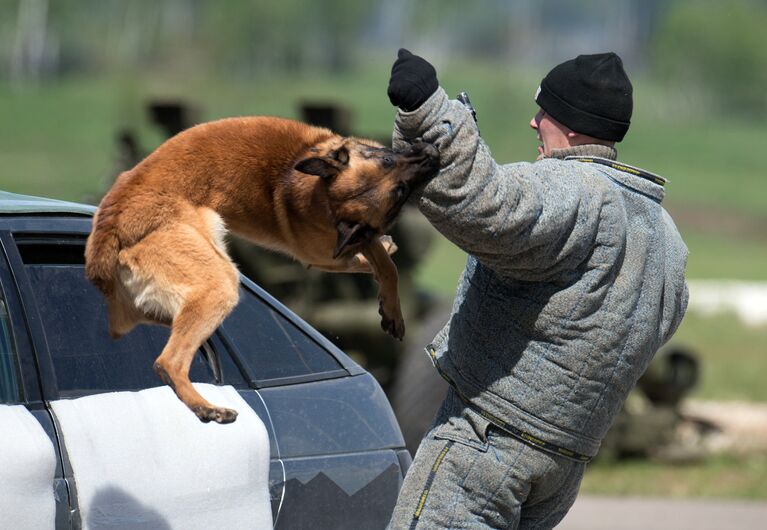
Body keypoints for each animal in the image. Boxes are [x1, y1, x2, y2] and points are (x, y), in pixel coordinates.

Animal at [84, 115, 438, 420]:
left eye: (399, 191)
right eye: (388, 163)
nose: (431, 153)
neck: (314, 189)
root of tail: (108, 225)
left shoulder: (351, 238)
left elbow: (381, 259)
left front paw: (388, 296)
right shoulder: (326, 253)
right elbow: (384, 263)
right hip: (219, 282)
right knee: (167, 362)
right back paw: (207, 408)